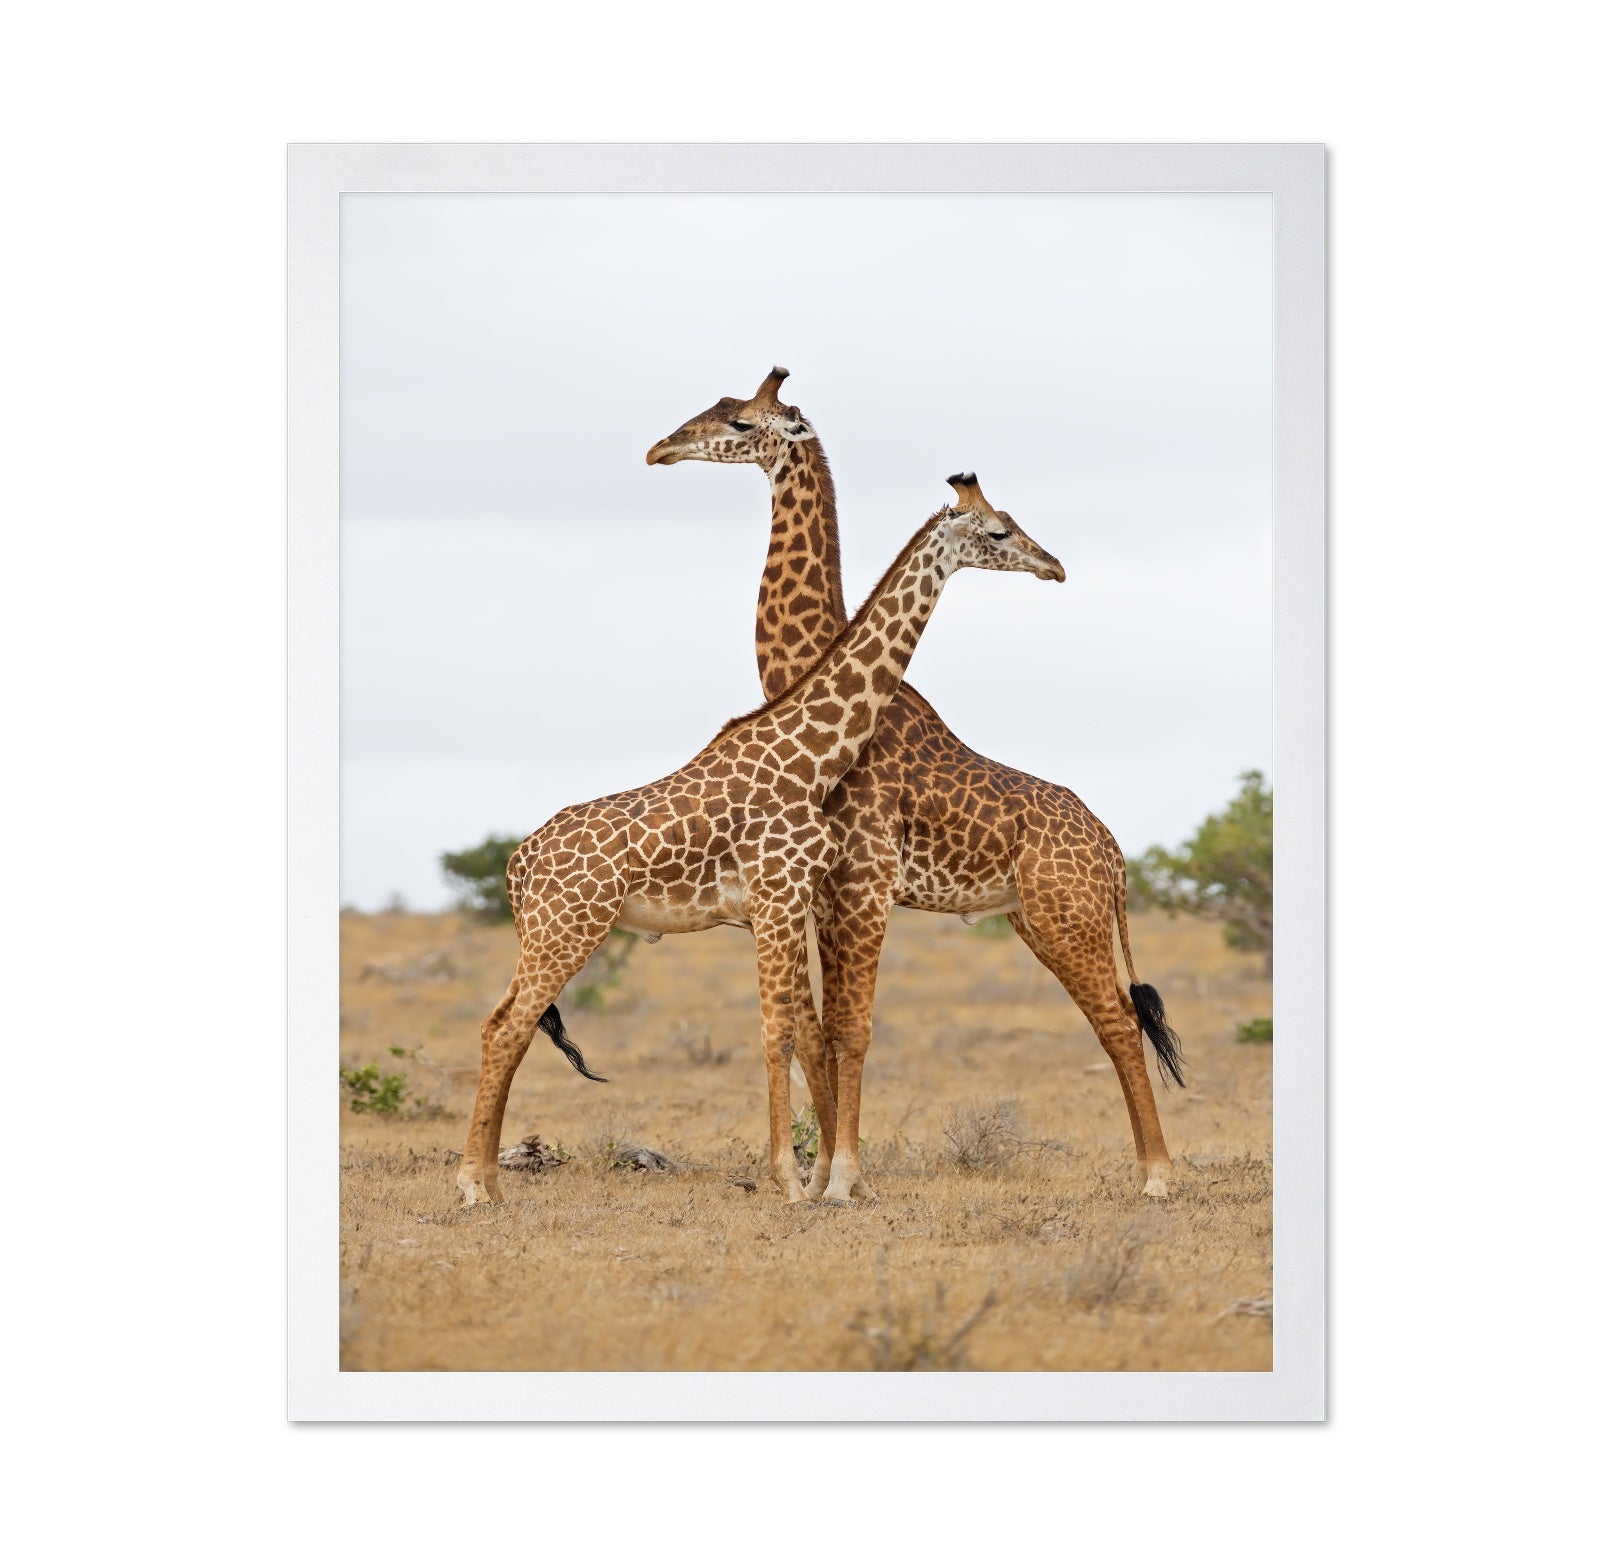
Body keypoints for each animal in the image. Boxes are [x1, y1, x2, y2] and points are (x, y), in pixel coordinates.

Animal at [455, 478, 1064, 1206]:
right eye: (998, 532)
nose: (1054, 566)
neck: (811, 757)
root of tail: (517, 863)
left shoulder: (781, 904)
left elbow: (796, 1033)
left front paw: (801, 1178)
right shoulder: (776, 897)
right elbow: (778, 1036)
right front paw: (791, 1183)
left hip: (551, 931)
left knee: (505, 1025)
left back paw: (489, 1182)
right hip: (567, 927)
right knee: (504, 1027)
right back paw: (474, 1185)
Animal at [647, 369, 1185, 1203]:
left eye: (739, 423)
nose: (661, 448)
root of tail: (1116, 853)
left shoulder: (863, 883)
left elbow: (848, 1028)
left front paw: (840, 1177)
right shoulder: (821, 891)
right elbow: (818, 1030)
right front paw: (825, 1174)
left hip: (1070, 918)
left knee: (1121, 1023)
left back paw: (1157, 1176)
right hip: (1036, 919)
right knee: (1113, 1021)